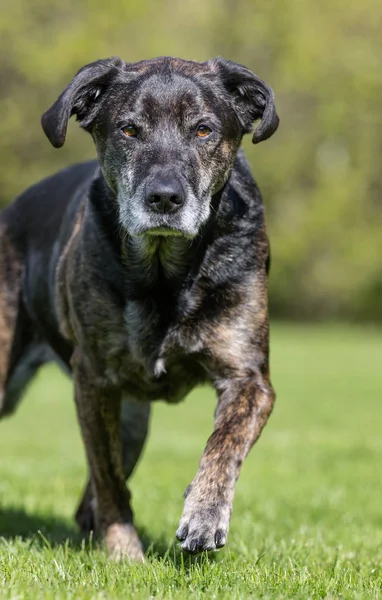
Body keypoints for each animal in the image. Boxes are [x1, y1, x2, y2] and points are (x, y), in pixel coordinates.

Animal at [0, 56, 278, 564]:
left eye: (204, 130)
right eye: (128, 129)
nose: (165, 197)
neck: (164, 274)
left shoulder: (248, 378)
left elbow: (223, 445)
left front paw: (204, 516)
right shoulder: (94, 382)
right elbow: (109, 480)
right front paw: (123, 553)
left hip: (132, 422)